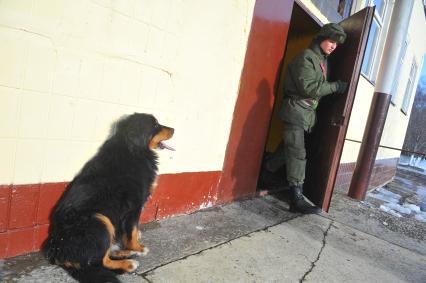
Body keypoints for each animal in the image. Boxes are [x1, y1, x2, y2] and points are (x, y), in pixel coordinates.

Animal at [43, 113, 175, 283]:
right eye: (155, 125)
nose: (174, 129)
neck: (134, 149)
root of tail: (57, 251)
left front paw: (133, 247)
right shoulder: (134, 206)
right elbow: (132, 231)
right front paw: (137, 246)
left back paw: (126, 253)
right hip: (100, 220)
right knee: (100, 262)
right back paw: (128, 263)